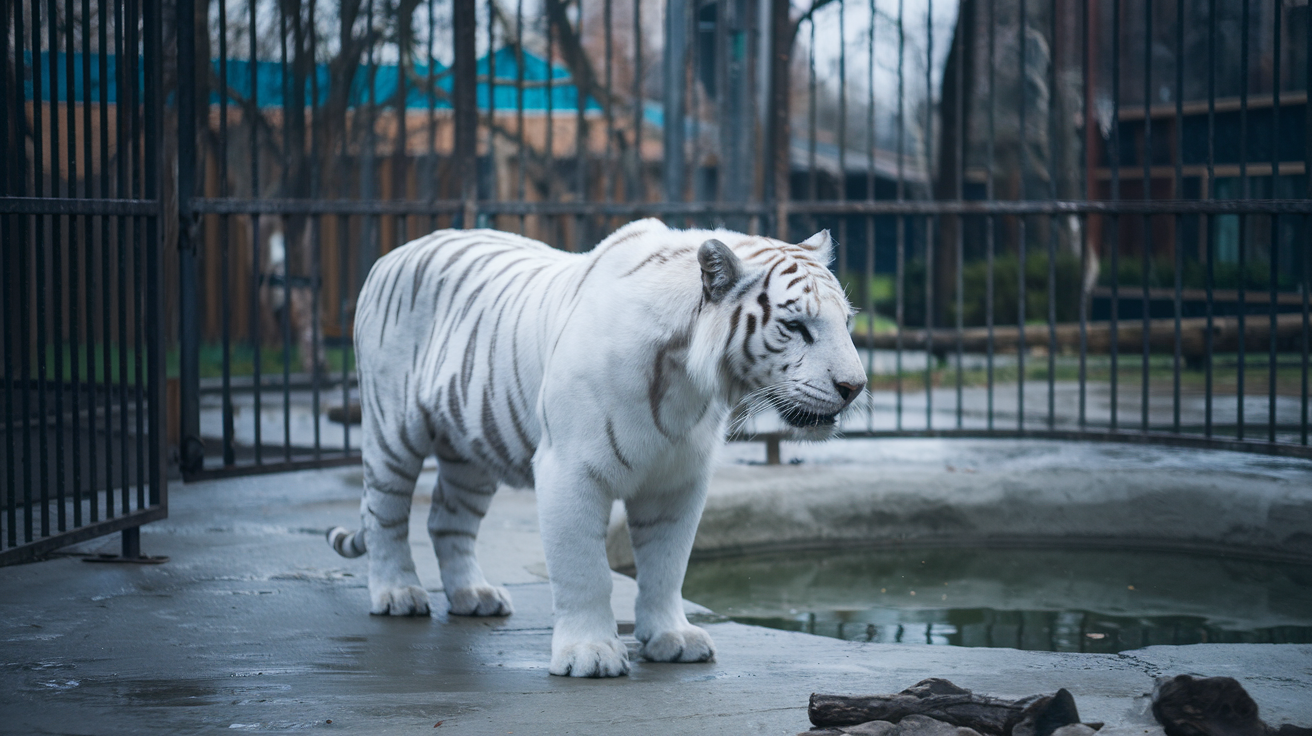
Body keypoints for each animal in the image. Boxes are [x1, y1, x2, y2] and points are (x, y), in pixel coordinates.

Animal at [325, 219, 871, 676]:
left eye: (845, 322)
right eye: (796, 327)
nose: (855, 387)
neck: (684, 380)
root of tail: (400, 249)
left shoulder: (678, 481)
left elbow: (667, 566)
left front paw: (671, 638)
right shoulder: (570, 470)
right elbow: (585, 571)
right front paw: (589, 654)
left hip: (471, 450)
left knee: (446, 518)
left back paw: (473, 595)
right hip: (392, 431)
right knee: (385, 513)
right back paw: (398, 593)